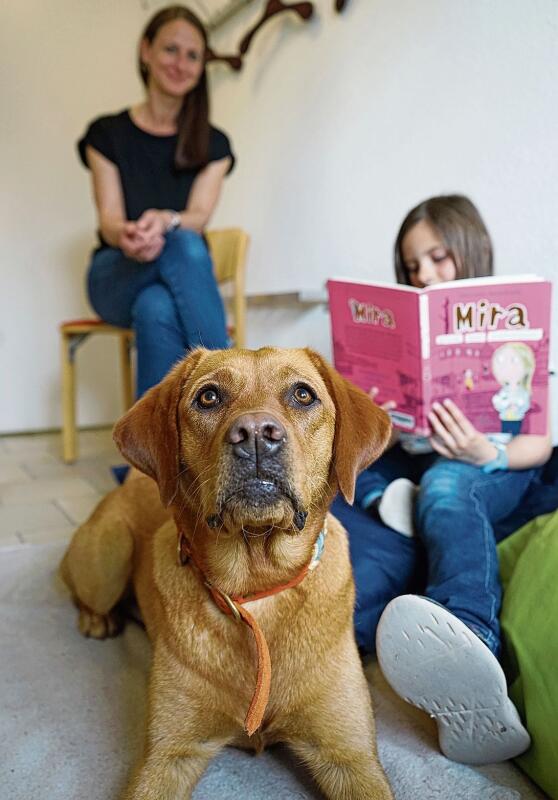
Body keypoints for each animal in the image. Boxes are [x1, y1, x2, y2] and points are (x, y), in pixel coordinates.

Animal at [61, 346, 394, 800]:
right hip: (109, 554)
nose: (254, 434)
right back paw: (99, 619)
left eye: (303, 395)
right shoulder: (167, 754)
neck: (257, 583)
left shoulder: (349, 754)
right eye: (208, 397)